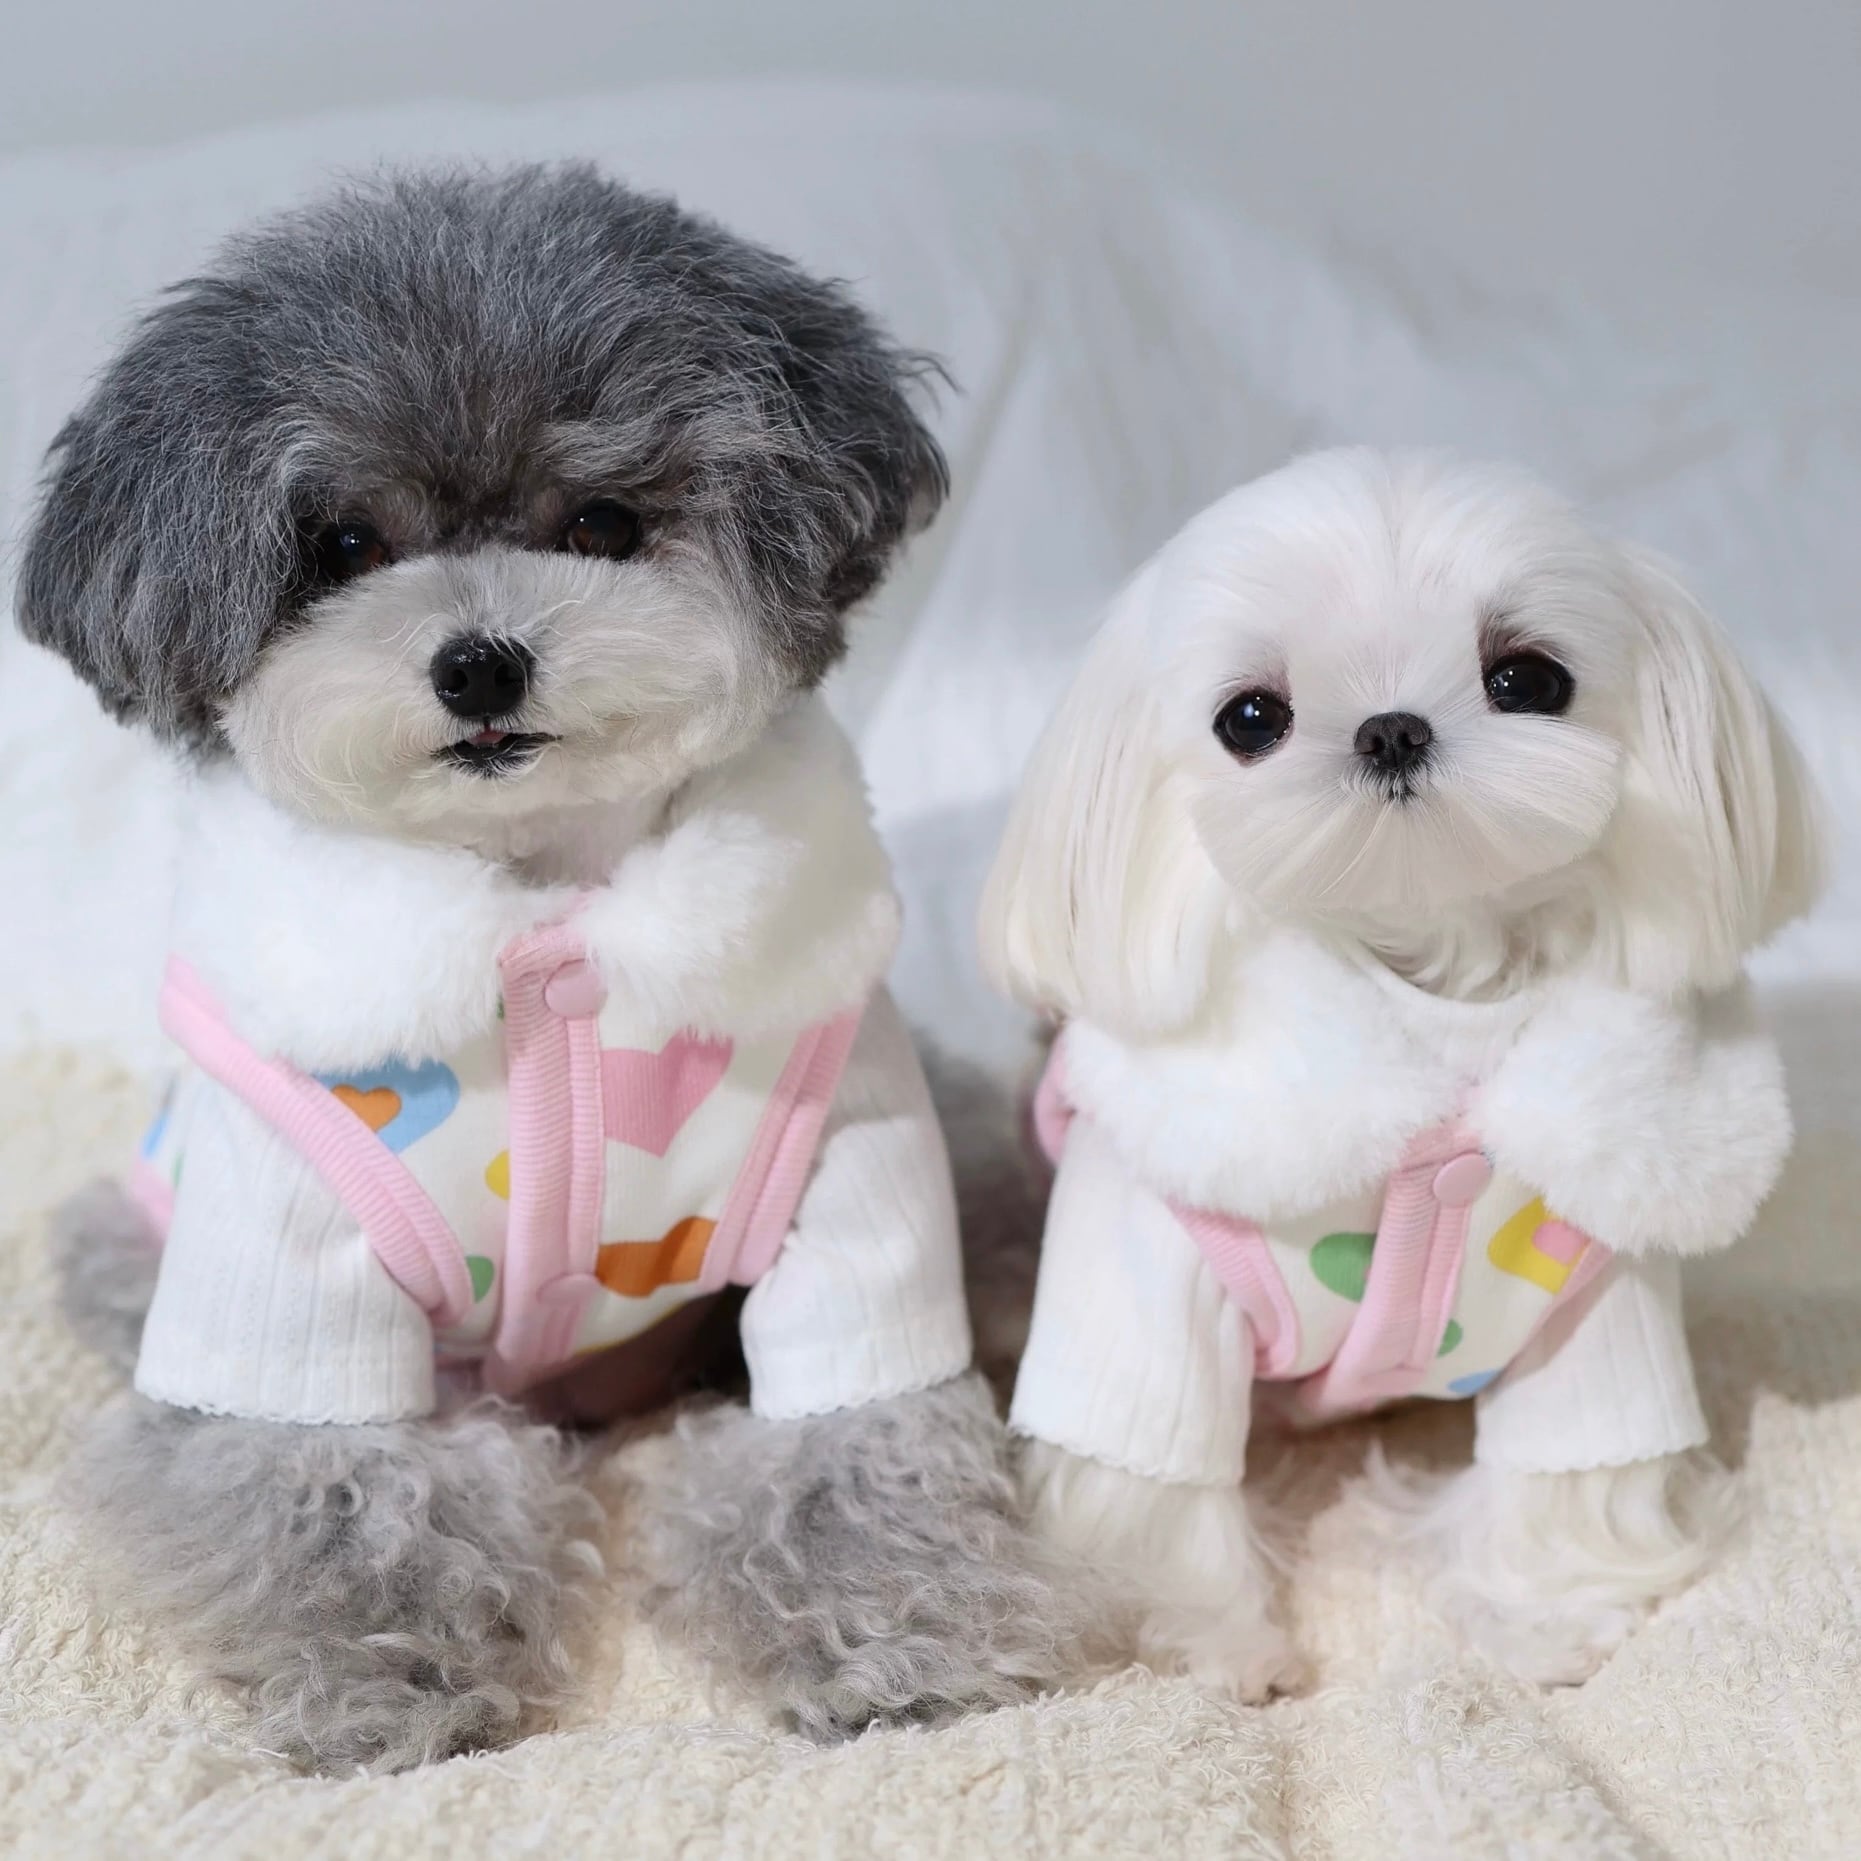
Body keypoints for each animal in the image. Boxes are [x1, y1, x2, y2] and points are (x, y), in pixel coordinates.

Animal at [17, 163, 1076, 1771]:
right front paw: (389, 1683)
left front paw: (899, 1643)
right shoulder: (284, 1271)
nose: (479, 664)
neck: (548, 922)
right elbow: (331, 1495)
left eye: (603, 519)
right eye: (342, 546)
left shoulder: (856, 1177)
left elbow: (848, 1448)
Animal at [978, 447, 1821, 1693]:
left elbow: (1571, 1470)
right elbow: (1143, 1478)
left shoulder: (1599, 1297)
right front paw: (1192, 1636)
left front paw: (1547, 1612)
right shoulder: (1140, 1276)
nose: (1389, 729)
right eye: (1249, 717)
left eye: (1527, 678)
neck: (1430, 1000)